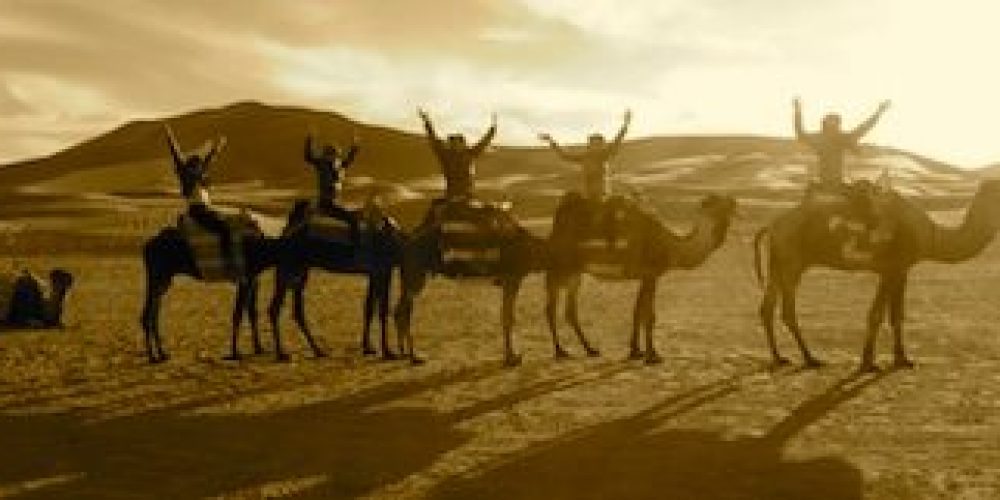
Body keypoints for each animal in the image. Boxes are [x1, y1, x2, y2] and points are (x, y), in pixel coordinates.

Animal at [546, 193, 737, 364]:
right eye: (717, 204)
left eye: (728, 205)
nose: (733, 203)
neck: (672, 246)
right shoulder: (652, 274)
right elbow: (649, 316)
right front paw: (653, 356)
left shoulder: (645, 277)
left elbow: (637, 312)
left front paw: (636, 351)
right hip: (560, 267)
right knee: (551, 308)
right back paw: (560, 351)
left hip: (576, 272)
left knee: (570, 311)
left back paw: (590, 349)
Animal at [754, 179, 1000, 371]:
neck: (932, 236)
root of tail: (772, 225)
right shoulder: (894, 268)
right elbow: (880, 315)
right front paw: (876, 363)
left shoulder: (897, 270)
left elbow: (892, 315)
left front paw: (895, 359)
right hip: (791, 261)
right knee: (787, 312)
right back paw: (810, 358)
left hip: (778, 263)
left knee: (767, 308)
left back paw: (779, 358)